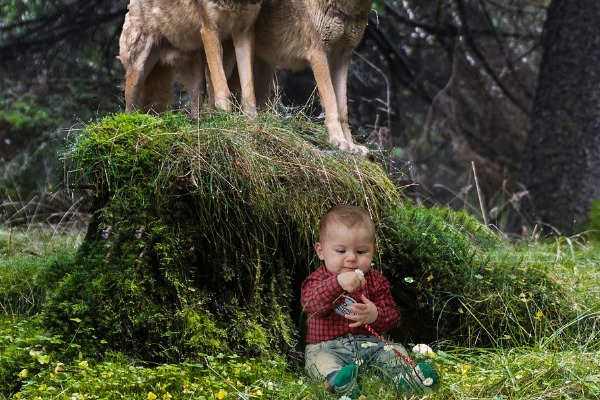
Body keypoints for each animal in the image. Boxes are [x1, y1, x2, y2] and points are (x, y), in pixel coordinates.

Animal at [118, 0, 262, 115]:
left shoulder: (245, 33)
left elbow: (249, 90)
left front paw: (252, 120)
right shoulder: (210, 30)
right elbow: (223, 89)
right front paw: (226, 117)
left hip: (197, 81)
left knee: (196, 110)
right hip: (138, 71)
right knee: (128, 109)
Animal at [252, 0, 372, 155]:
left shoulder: (342, 57)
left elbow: (343, 110)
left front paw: (352, 145)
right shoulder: (318, 52)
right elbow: (332, 102)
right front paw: (338, 140)